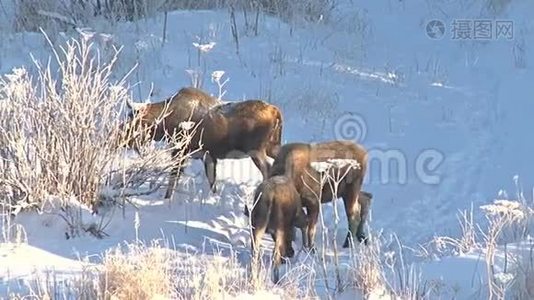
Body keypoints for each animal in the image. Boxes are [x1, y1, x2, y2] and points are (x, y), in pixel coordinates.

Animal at [122, 86, 284, 197]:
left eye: (134, 119)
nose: (123, 138)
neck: (165, 125)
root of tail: (276, 112)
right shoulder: (208, 156)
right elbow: (212, 183)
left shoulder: (180, 151)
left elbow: (173, 180)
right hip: (272, 145)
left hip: (256, 149)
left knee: (268, 169)